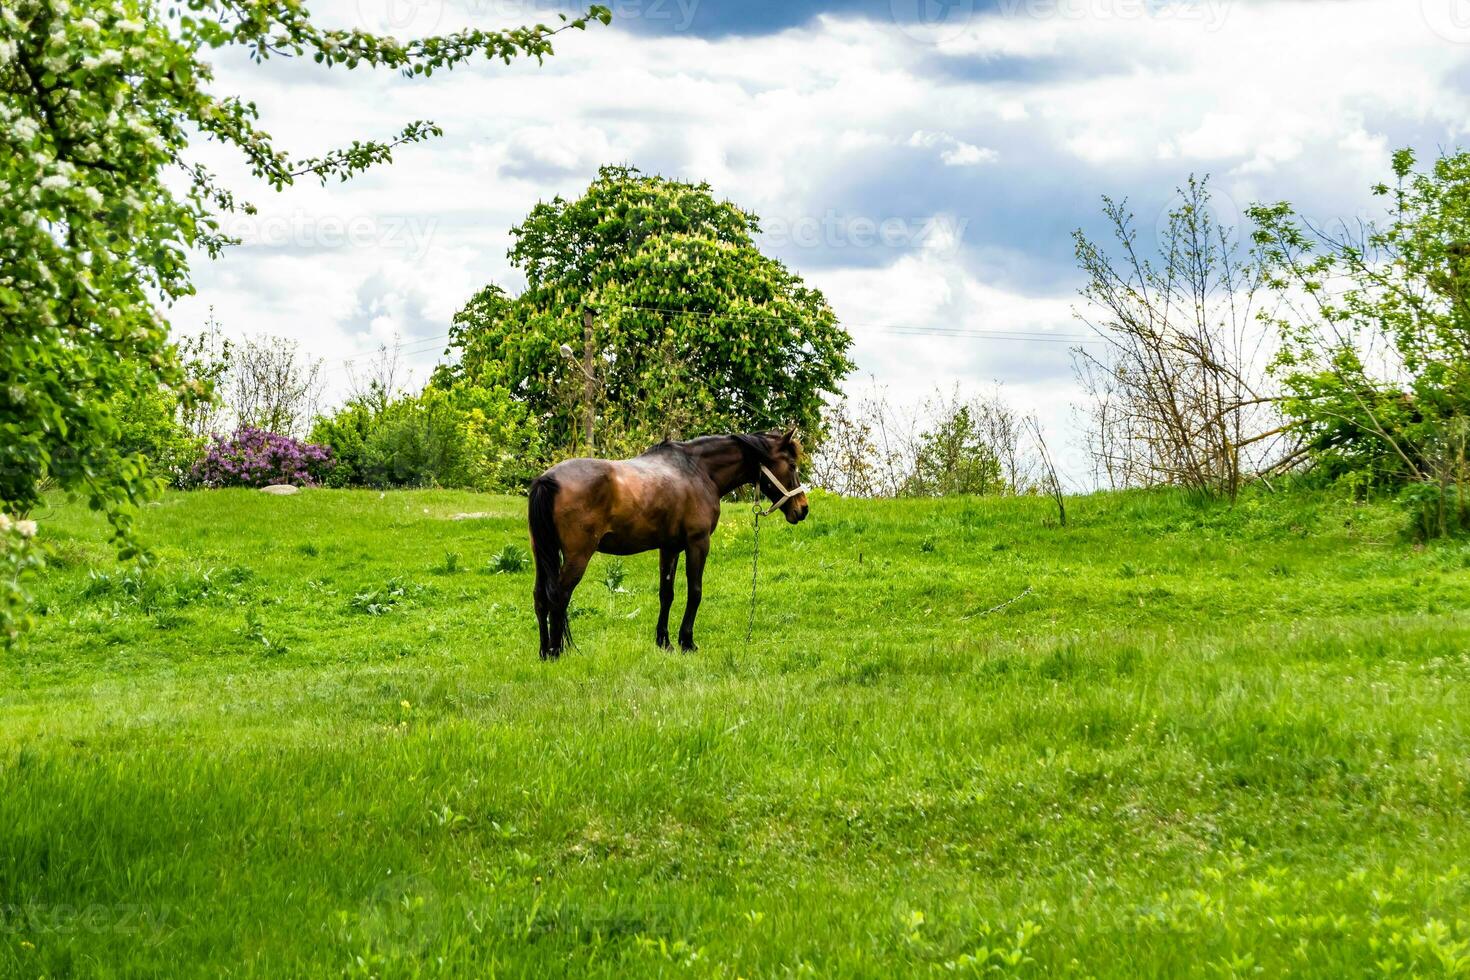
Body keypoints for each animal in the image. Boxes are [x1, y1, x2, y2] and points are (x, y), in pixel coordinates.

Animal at [529, 429, 811, 658]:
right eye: (792, 464)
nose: (803, 509)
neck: (698, 470)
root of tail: (547, 480)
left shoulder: (670, 548)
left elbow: (667, 594)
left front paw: (664, 642)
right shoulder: (698, 543)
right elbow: (695, 592)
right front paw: (687, 642)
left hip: (542, 555)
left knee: (541, 597)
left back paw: (544, 652)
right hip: (577, 556)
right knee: (559, 597)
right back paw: (555, 652)